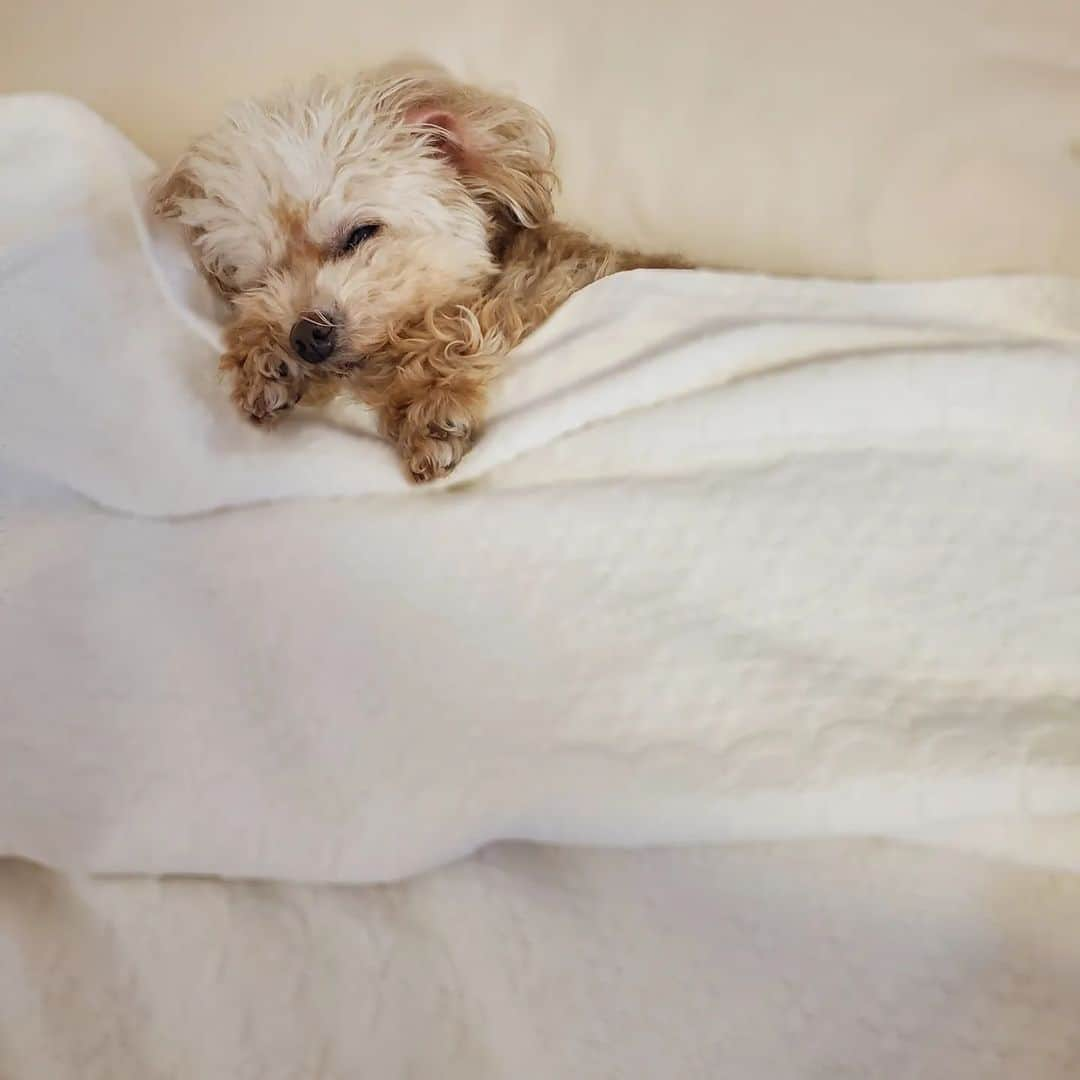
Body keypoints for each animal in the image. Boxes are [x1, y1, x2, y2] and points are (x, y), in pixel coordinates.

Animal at [154, 66, 682, 481]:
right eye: (262, 275)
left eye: (359, 235)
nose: (305, 337)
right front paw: (264, 359)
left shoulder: (534, 288)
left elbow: (455, 326)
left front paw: (429, 409)